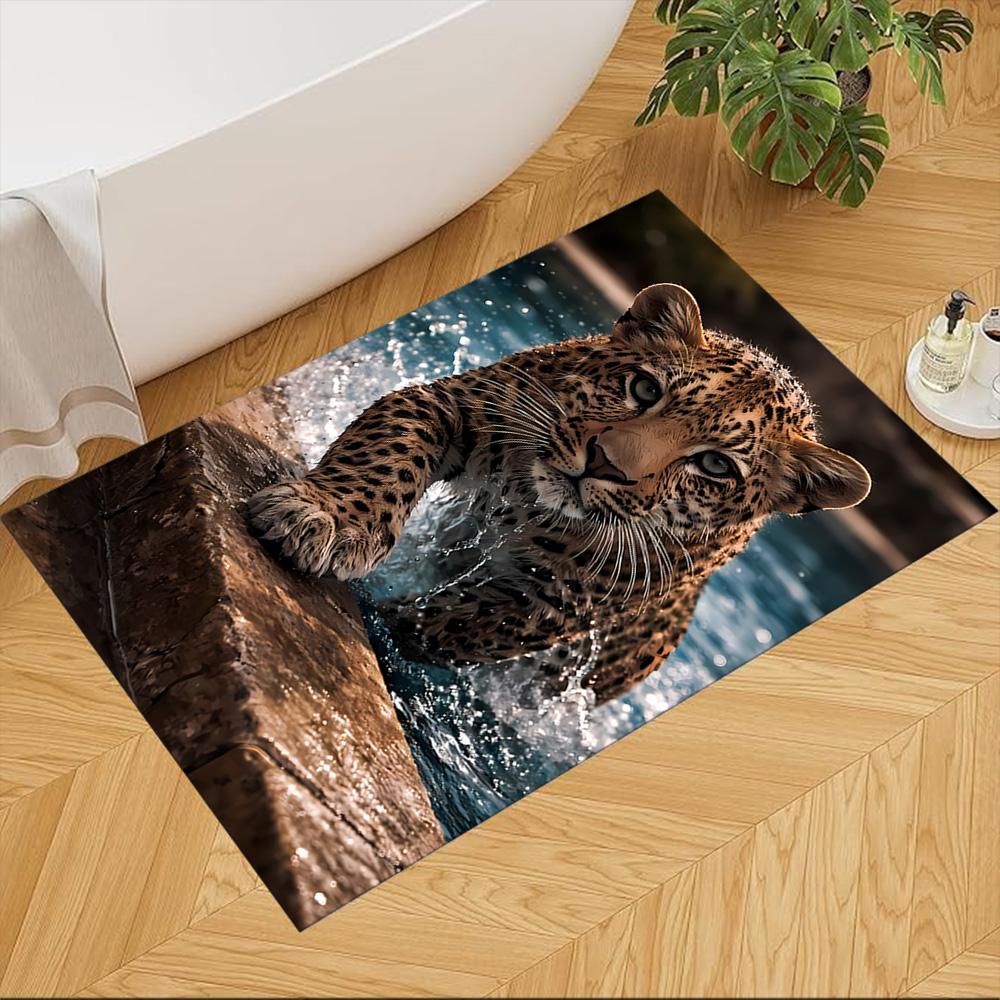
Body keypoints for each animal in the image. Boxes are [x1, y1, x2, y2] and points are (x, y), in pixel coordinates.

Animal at [247, 283, 871, 703]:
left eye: (715, 465)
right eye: (645, 388)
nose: (604, 464)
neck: (528, 508)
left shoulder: (557, 603)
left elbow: (462, 627)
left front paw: (385, 623)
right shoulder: (462, 404)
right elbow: (390, 448)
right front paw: (327, 516)